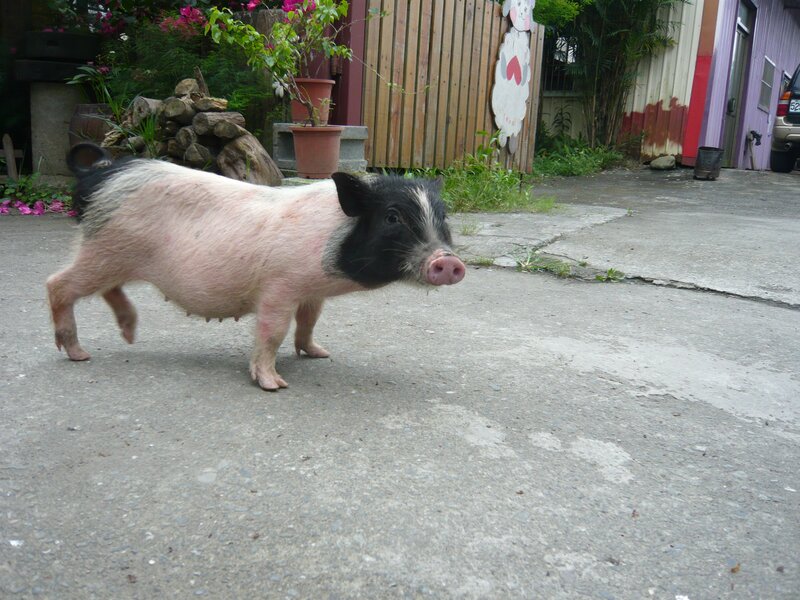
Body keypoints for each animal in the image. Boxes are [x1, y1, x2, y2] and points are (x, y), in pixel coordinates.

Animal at [47, 143, 465, 390]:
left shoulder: (310, 290)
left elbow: (309, 322)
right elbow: (272, 331)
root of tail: (100, 172)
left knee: (105, 288)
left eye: (443, 216)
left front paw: (319, 353)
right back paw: (80, 355)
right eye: (392, 217)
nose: (449, 261)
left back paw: (130, 334)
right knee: (58, 284)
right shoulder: (279, 287)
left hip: (109, 253)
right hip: (104, 248)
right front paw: (274, 384)